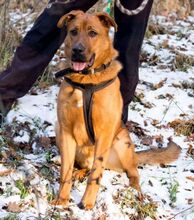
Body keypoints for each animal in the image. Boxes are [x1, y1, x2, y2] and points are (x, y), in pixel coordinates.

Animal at [53, 10, 180, 210]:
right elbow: (65, 172)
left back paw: (135, 191)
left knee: (132, 172)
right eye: (73, 31)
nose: (77, 51)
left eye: (92, 33)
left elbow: (96, 174)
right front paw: (62, 199)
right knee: (83, 166)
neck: (86, 81)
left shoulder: (104, 134)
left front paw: (87, 203)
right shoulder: (66, 131)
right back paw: (78, 172)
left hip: (121, 143)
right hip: (58, 129)